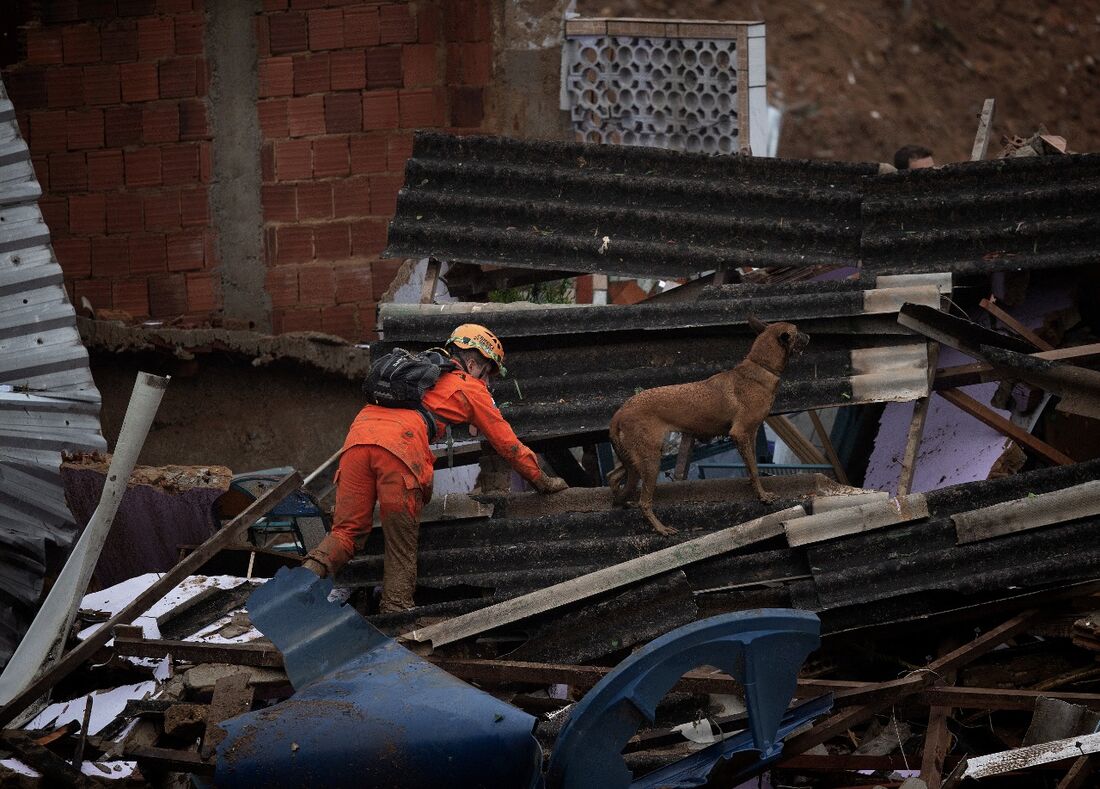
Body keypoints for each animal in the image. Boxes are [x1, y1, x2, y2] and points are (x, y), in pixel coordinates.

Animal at [611, 314, 809, 534]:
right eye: (797, 331)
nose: (809, 336)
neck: (760, 366)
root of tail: (620, 411)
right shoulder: (740, 433)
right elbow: (754, 469)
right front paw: (763, 496)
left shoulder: (751, 434)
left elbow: (751, 466)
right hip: (650, 459)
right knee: (643, 502)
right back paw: (661, 528)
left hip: (633, 459)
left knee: (613, 477)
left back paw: (621, 502)